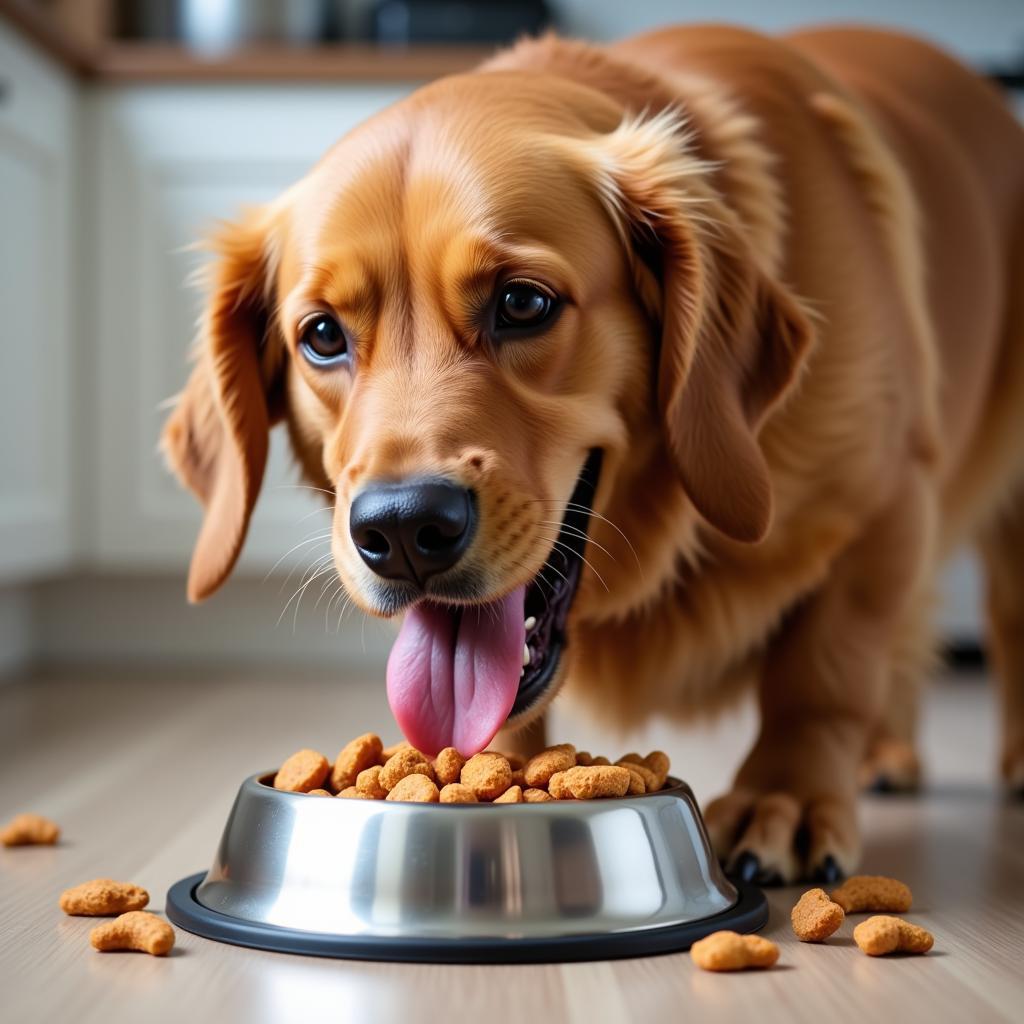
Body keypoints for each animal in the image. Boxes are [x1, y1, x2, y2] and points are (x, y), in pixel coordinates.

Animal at [159, 25, 1024, 880]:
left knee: (995, 616)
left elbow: (822, 672)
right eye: (322, 335)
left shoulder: (885, 502)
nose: (401, 529)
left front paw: (787, 798)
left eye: (522, 302)